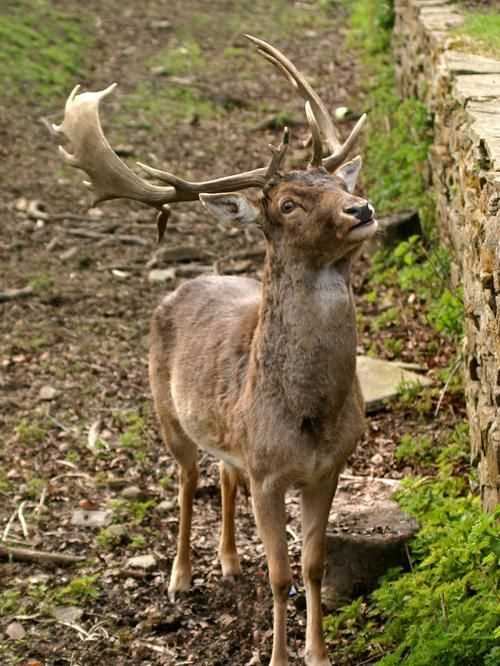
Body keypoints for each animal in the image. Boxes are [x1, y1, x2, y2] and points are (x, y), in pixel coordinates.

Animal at [53, 35, 376, 664]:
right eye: (288, 205)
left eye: (341, 186)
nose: (362, 209)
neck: (308, 418)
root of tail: (188, 282)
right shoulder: (269, 473)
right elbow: (280, 574)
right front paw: (277, 656)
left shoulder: (330, 466)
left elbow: (313, 565)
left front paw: (318, 653)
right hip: (166, 410)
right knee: (185, 480)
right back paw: (180, 577)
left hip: (225, 434)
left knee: (224, 475)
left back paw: (227, 562)